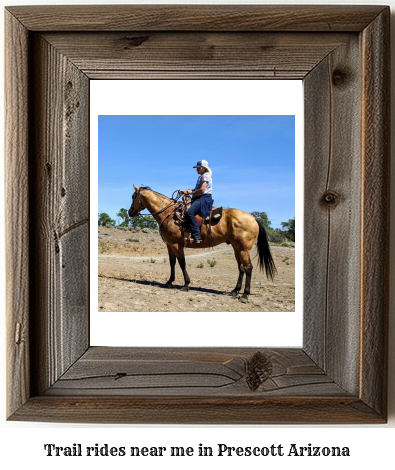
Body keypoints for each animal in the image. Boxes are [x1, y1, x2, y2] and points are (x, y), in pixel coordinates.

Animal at [128, 184, 276, 302]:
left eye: (133, 196)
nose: (130, 212)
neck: (169, 214)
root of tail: (253, 218)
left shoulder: (177, 245)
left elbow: (182, 263)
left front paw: (186, 284)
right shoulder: (169, 245)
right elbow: (172, 263)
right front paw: (170, 281)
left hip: (244, 249)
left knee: (248, 268)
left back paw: (245, 295)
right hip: (237, 248)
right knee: (241, 268)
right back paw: (234, 291)